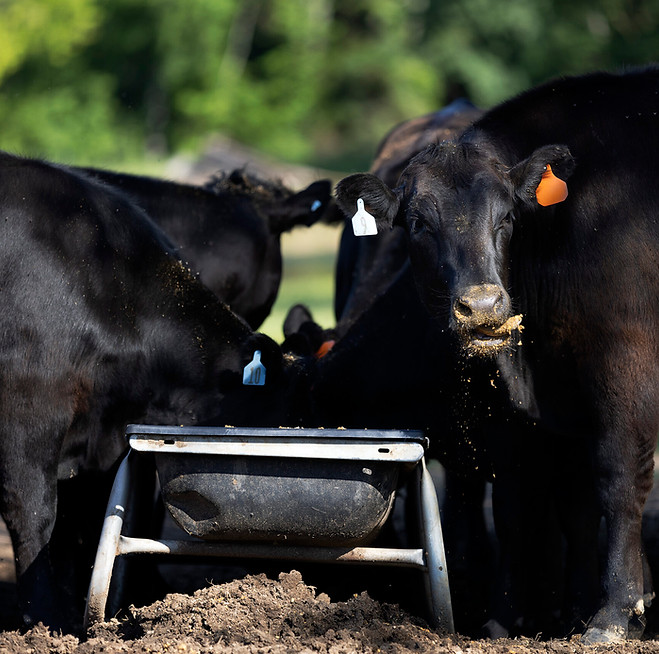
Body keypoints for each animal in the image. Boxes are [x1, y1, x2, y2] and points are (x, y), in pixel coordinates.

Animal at [335, 66, 659, 643]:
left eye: (507, 217)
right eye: (418, 223)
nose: (482, 306)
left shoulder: (628, 364)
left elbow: (618, 481)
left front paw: (616, 612)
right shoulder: (554, 412)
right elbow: (561, 505)